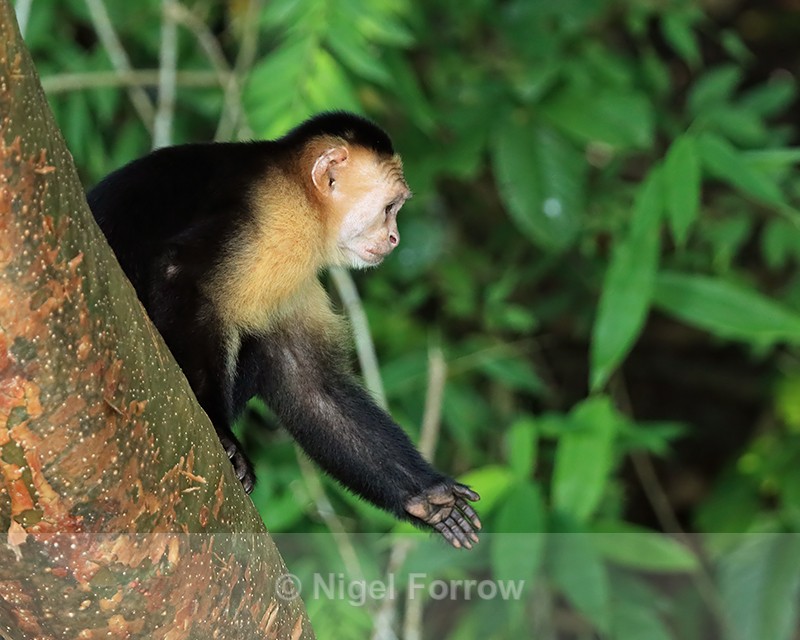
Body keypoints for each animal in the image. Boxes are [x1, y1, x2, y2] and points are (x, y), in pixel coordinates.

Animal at [87, 112, 481, 549]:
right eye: (389, 208)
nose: (395, 239)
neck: (303, 201)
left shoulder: (298, 273)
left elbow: (309, 384)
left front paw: (426, 498)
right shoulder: (273, 220)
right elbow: (180, 275)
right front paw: (220, 432)